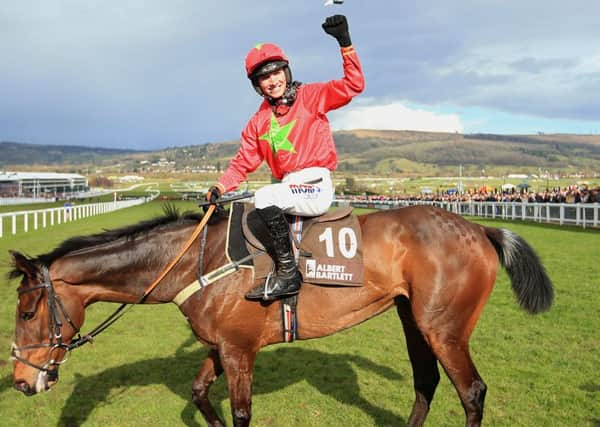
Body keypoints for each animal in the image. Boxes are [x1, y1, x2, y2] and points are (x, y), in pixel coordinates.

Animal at [8, 206, 552, 426]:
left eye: (29, 310)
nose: (20, 381)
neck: (197, 260)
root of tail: (480, 229)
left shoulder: (239, 350)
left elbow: (241, 412)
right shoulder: (222, 345)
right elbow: (199, 393)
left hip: (444, 326)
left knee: (471, 392)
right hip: (412, 318)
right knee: (426, 382)